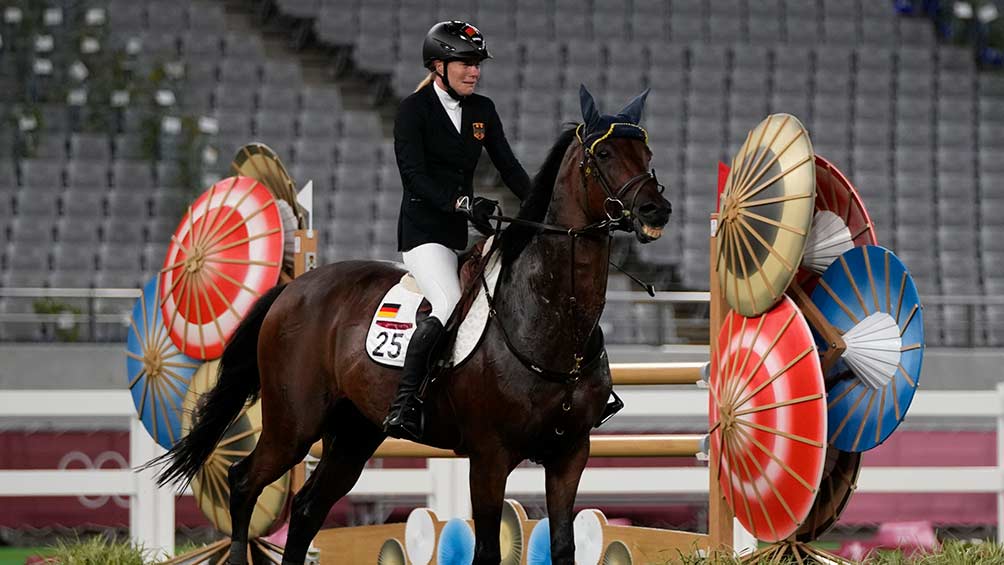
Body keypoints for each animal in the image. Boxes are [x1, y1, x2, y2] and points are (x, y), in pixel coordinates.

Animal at [154, 86, 674, 561]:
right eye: (603, 153)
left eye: (647, 153)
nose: (657, 210)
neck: (550, 319)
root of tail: (295, 288)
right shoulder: (489, 456)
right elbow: (487, 551)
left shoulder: (570, 454)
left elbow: (565, 547)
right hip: (293, 425)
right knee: (244, 484)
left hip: (354, 434)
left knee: (304, 510)